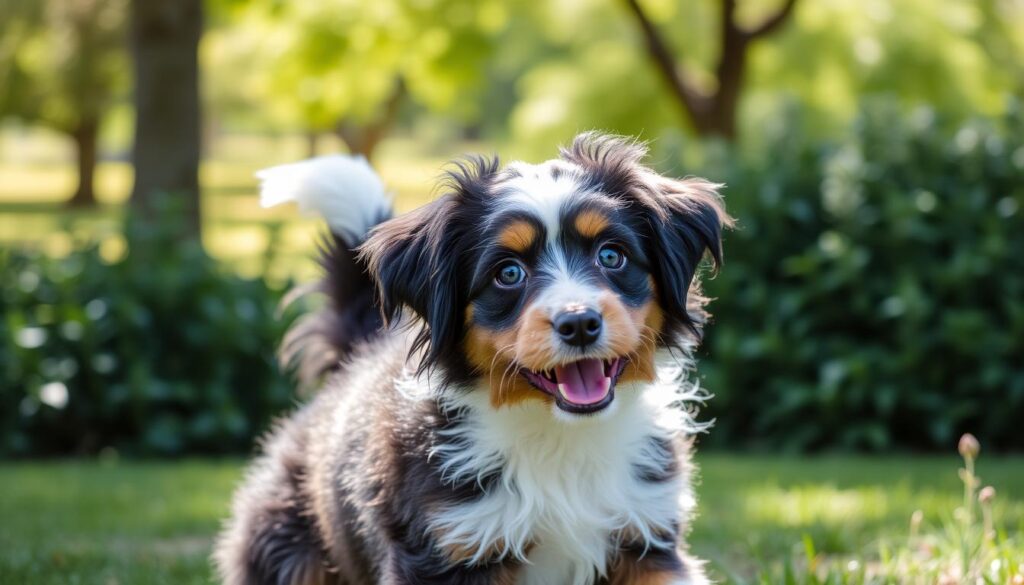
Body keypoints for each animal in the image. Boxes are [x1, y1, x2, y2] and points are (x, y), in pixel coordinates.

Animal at [214, 134, 729, 585]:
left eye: (611, 255)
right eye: (508, 273)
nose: (580, 323)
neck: (558, 439)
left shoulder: (646, 536)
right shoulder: (448, 545)